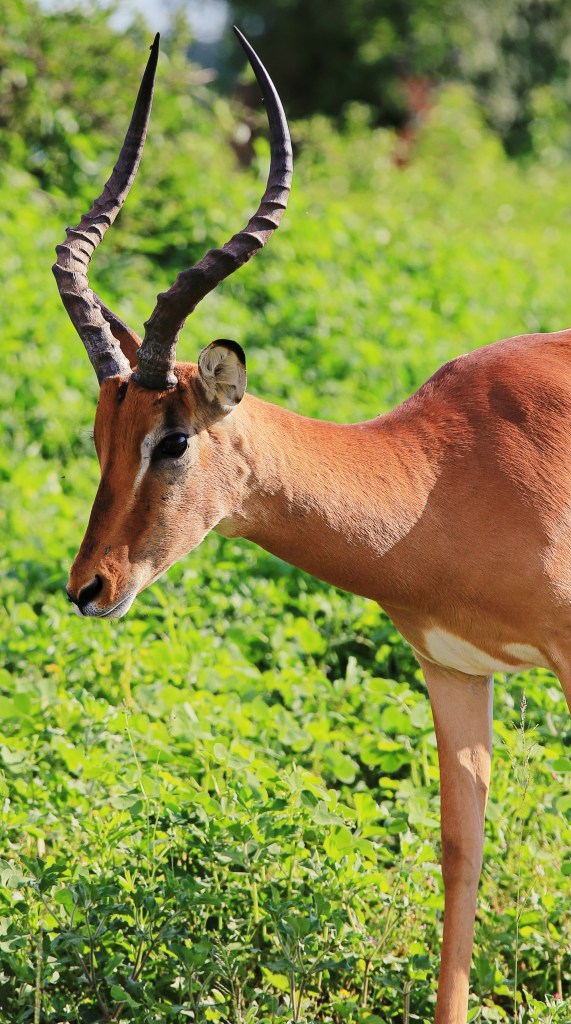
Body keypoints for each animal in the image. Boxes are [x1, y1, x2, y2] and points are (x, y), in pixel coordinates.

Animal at [54, 29, 571, 1024]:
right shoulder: (454, 668)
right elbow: (460, 853)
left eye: (173, 438)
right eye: (100, 437)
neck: (437, 475)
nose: (90, 587)